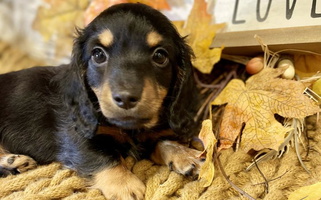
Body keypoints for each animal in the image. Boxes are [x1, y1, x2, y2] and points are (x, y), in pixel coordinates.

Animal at [0, 2, 202, 198]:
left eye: (160, 56)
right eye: (98, 55)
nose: (126, 98)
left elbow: (163, 141)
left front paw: (186, 155)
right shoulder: (75, 134)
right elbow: (101, 156)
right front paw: (124, 185)